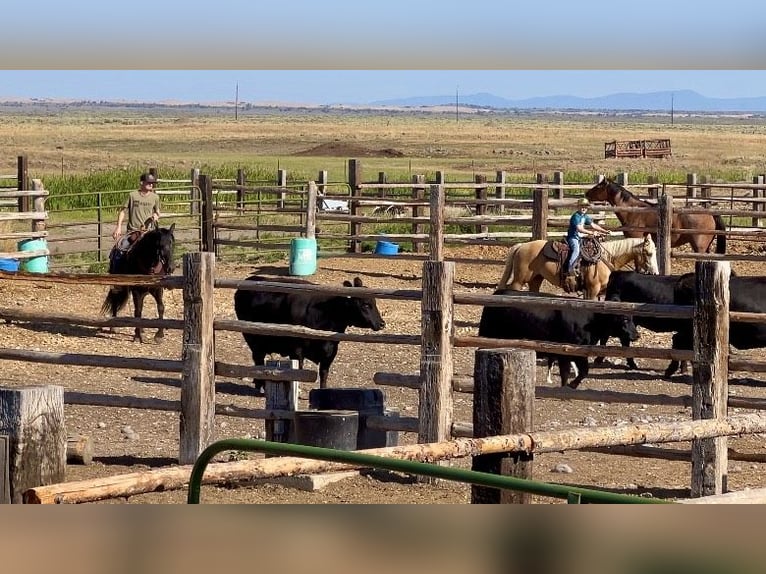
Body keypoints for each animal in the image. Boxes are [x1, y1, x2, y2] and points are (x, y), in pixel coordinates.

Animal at [496, 234, 659, 300]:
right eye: (649, 253)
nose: (656, 273)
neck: (604, 259)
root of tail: (521, 246)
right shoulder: (593, 289)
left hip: (535, 279)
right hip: (519, 280)